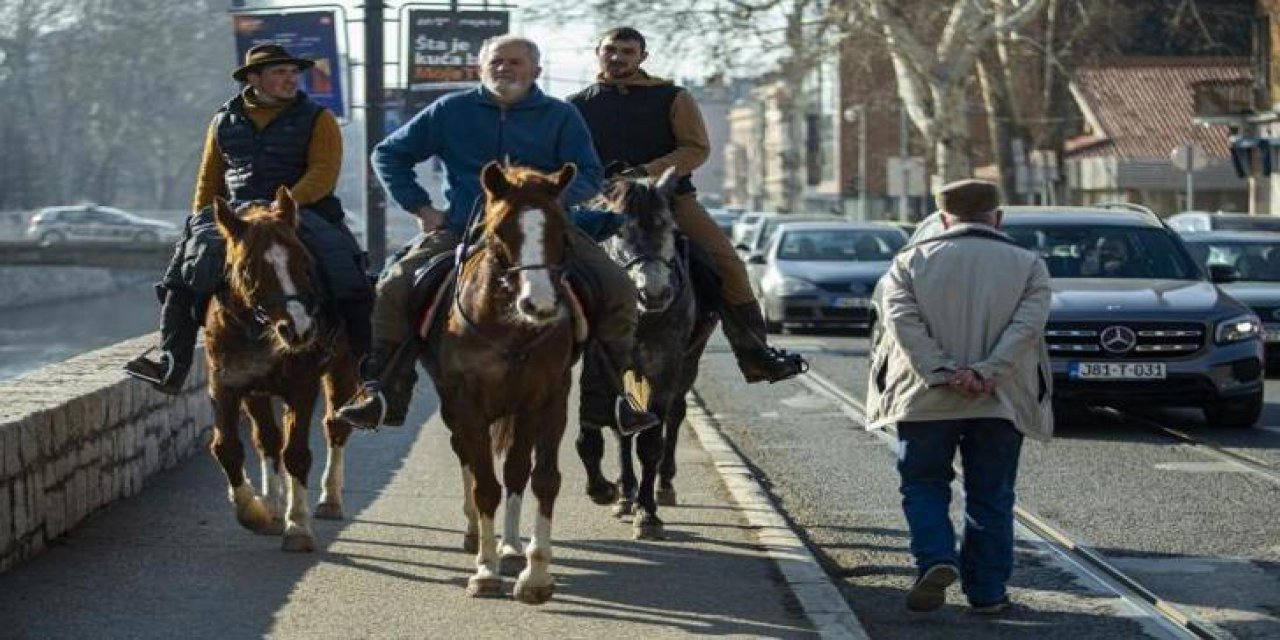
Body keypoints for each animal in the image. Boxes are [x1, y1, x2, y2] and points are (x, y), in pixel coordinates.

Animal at [204, 186, 358, 552]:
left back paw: (329, 499)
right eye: (248, 267)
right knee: (268, 441)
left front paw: (298, 525)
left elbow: (297, 453)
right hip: (257, 392)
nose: (299, 329)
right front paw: (255, 511)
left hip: (341, 368)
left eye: (304, 261)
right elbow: (228, 448)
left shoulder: (302, 385)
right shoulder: (227, 383)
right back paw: (274, 505)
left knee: (335, 426)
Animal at [419, 162, 581, 601]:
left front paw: (535, 573)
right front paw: (486, 570)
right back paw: (478, 536)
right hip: (453, 408)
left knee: (516, 470)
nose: (539, 305)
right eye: (501, 231)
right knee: (467, 458)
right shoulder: (467, 404)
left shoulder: (548, 399)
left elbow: (541, 479)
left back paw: (509, 547)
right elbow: (484, 486)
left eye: (561, 230)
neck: (512, 331)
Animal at [573, 168, 716, 540]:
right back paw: (626, 494)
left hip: (689, 363)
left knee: (674, 416)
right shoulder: (599, 361)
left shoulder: (666, 366)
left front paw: (648, 514)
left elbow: (651, 441)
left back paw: (663, 486)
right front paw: (618, 494)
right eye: (618, 232)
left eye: (672, 230)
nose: (654, 293)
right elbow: (608, 427)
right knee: (623, 429)